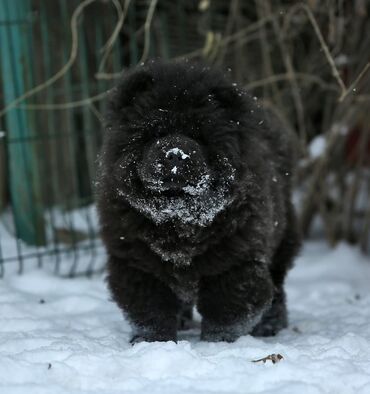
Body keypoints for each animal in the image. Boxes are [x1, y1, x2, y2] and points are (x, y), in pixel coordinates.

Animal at [96, 60, 300, 344]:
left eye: (200, 135)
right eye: (153, 133)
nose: (174, 153)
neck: (178, 217)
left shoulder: (234, 264)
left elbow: (227, 312)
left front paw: (218, 344)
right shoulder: (137, 263)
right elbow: (150, 311)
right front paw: (153, 342)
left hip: (281, 242)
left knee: (276, 289)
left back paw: (270, 326)